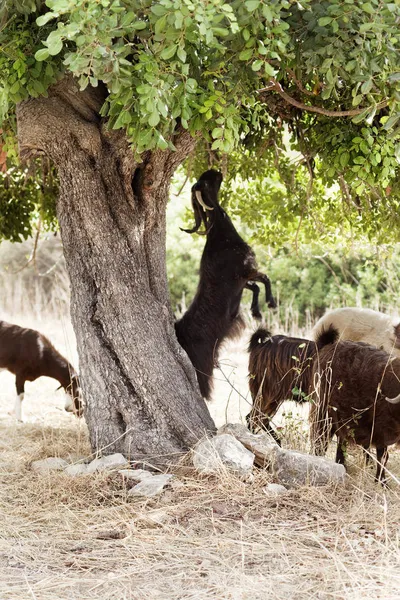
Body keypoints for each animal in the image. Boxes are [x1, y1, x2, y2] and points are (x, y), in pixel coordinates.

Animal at [175, 169, 276, 400]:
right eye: (205, 183)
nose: (216, 170)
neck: (221, 235)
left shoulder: (242, 281)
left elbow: (255, 286)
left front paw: (256, 311)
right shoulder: (245, 270)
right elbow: (264, 279)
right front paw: (271, 303)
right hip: (201, 367)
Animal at [310, 326, 400, 486]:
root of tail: (327, 346)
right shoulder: (381, 429)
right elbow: (383, 456)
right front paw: (381, 482)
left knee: (341, 441)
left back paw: (341, 464)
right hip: (323, 412)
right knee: (321, 439)